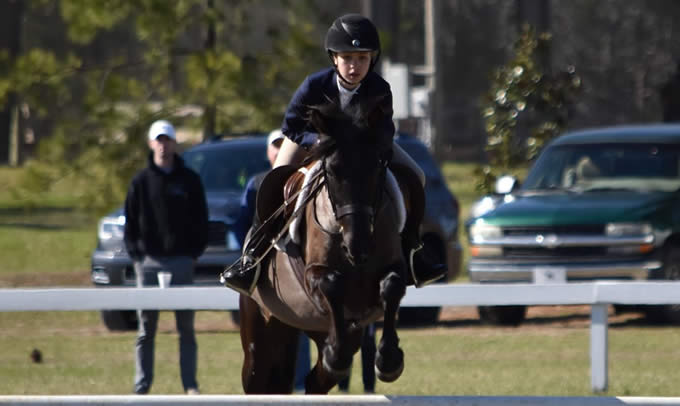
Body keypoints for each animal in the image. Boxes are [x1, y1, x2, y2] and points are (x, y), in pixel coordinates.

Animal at [239, 97, 410, 394]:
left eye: (378, 166)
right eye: (331, 171)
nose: (358, 247)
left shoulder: (392, 267)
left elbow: (391, 286)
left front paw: (389, 361)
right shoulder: (313, 275)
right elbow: (331, 283)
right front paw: (340, 355)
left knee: (317, 379)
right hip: (259, 334)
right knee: (258, 377)